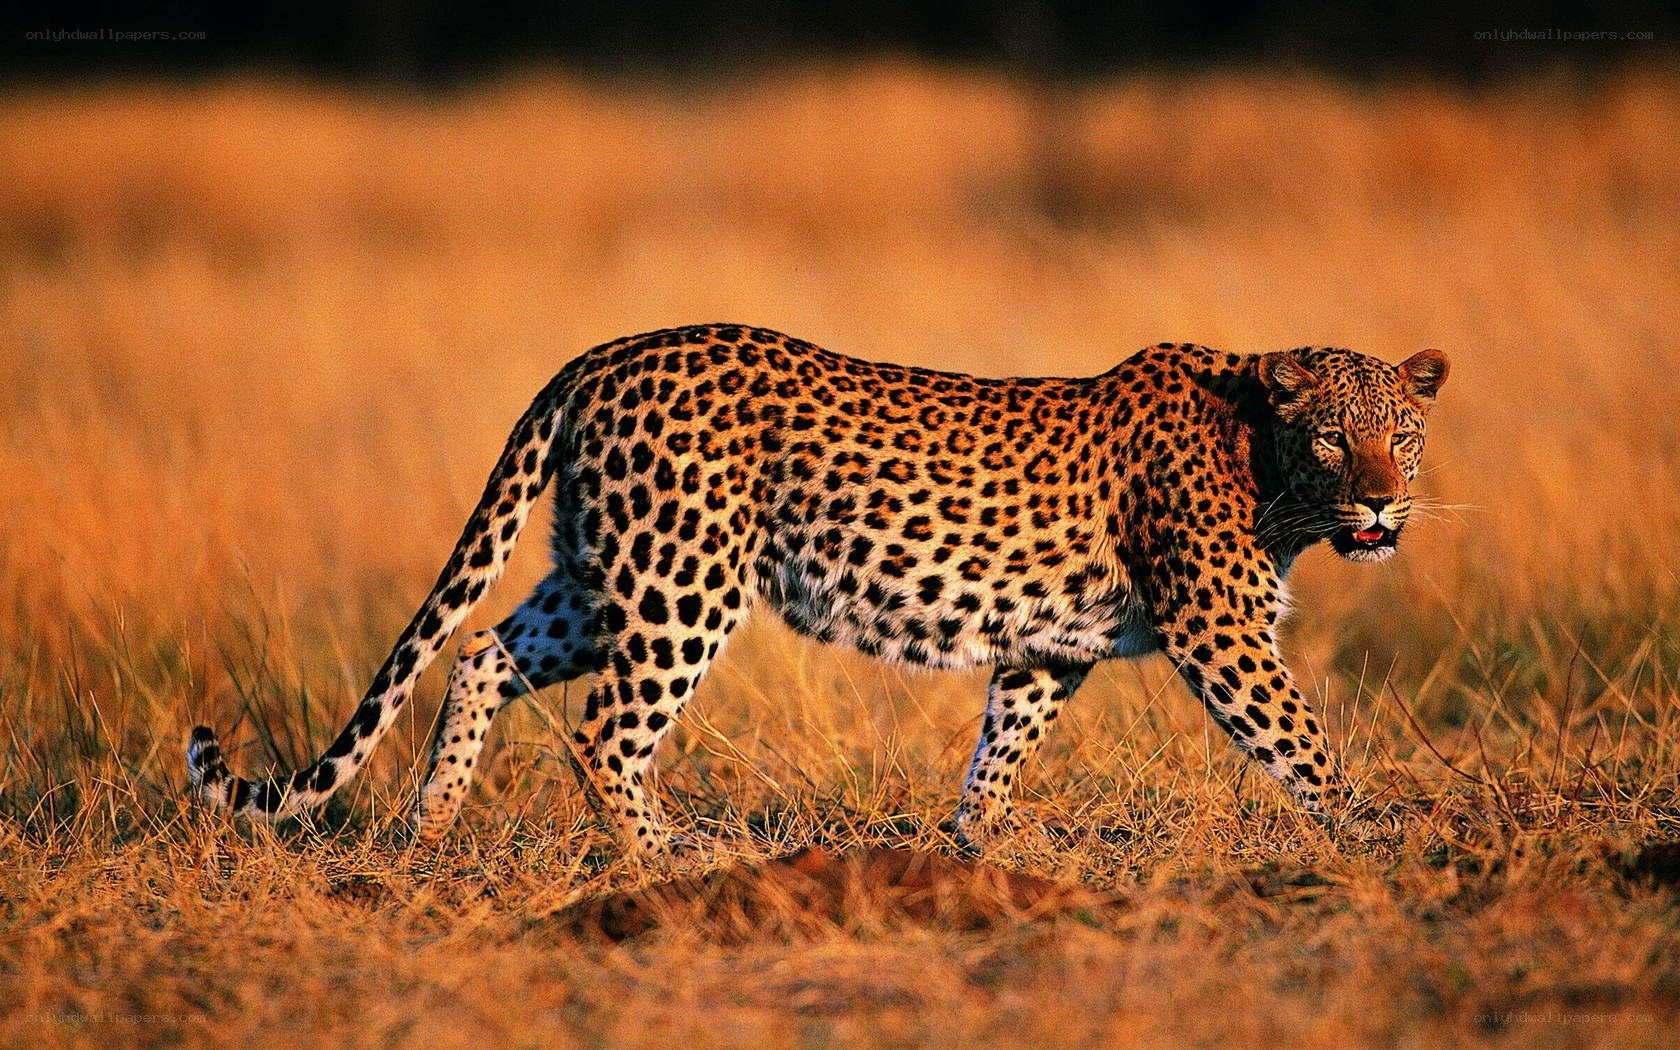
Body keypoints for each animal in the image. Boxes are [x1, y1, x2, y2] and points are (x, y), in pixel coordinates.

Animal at [187, 323, 1448, 858]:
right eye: (1334, 440)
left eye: (1402, 438)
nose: (1383, 507)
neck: (1269, 471)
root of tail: (599, 354)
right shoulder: (1215, 626)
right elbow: (1300, 739)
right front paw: (1379, 829)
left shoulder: (1053, 644)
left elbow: (1004, 743)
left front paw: (976, 847)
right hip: (682, 582)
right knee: (604, 733)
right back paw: (670, 858)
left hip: (602, 573)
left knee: (482, 652)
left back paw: (427, 828)